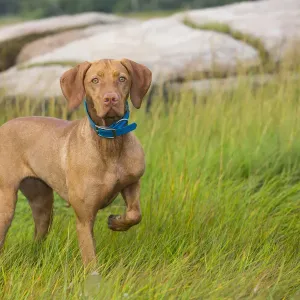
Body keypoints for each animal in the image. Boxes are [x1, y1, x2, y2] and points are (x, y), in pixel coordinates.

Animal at [0, 58, 152, 268]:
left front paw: (116, 222)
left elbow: (135, 214)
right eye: (95, 80)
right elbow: (90, 261)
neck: (109, 143)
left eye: (122, 78)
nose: (111, 99)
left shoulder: (132, 182)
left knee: (38, 236)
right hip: (6, 204)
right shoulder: (84, 217)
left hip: (42, 205)